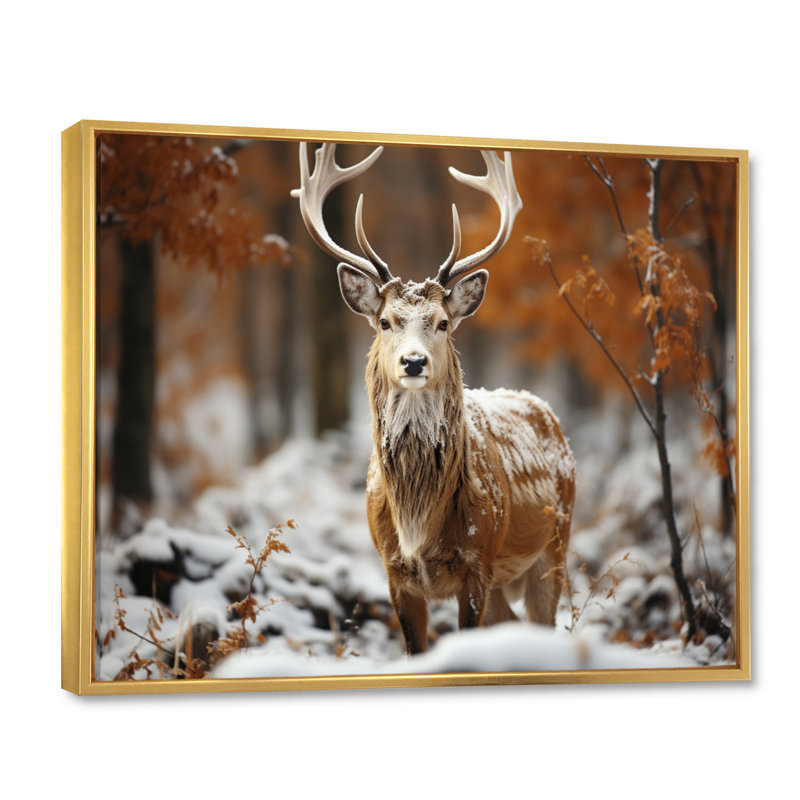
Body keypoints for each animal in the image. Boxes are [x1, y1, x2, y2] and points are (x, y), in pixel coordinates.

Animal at [291, 142, 576, 655]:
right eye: (385, 321)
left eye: (442, 322)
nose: (413, 362)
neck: (418, 526)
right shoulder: (393, 571)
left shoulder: (478, 562)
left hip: (555, 542)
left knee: (544, 621)